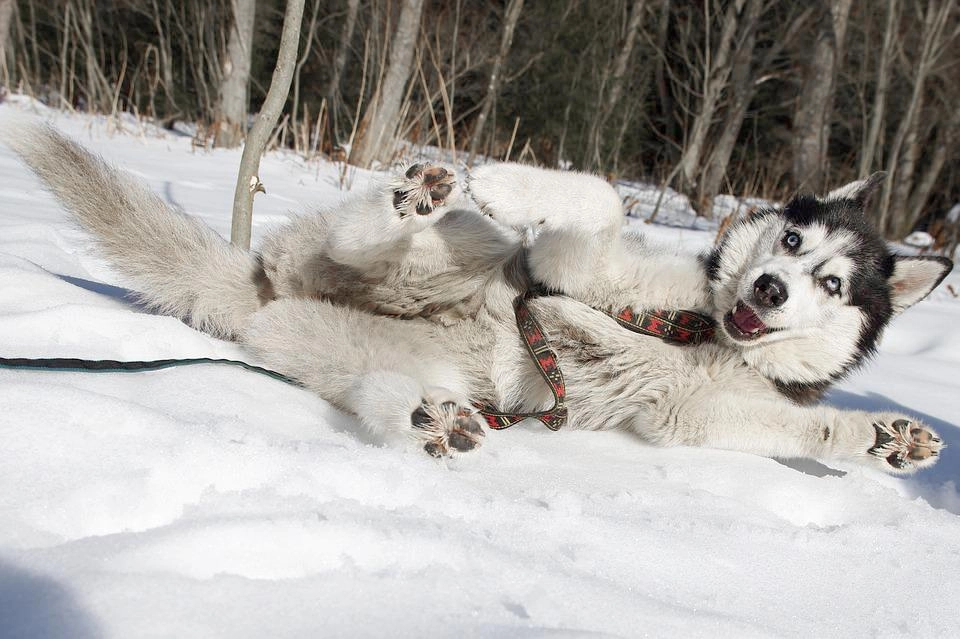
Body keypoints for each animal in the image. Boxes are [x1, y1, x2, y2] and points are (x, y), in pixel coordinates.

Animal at [1, 121, 952, 476]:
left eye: (833, 283)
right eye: (791, 241)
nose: (768, 287)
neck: (704, 329)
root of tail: (265, 290)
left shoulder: (701, 413)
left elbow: (809, 429)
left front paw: (887, 436)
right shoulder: (571, 268)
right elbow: (598, 199)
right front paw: (511, 179)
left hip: (364, 353)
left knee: (382, 389)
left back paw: (436, 418)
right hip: (454, 256)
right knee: (365, 243)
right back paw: (408, 203)